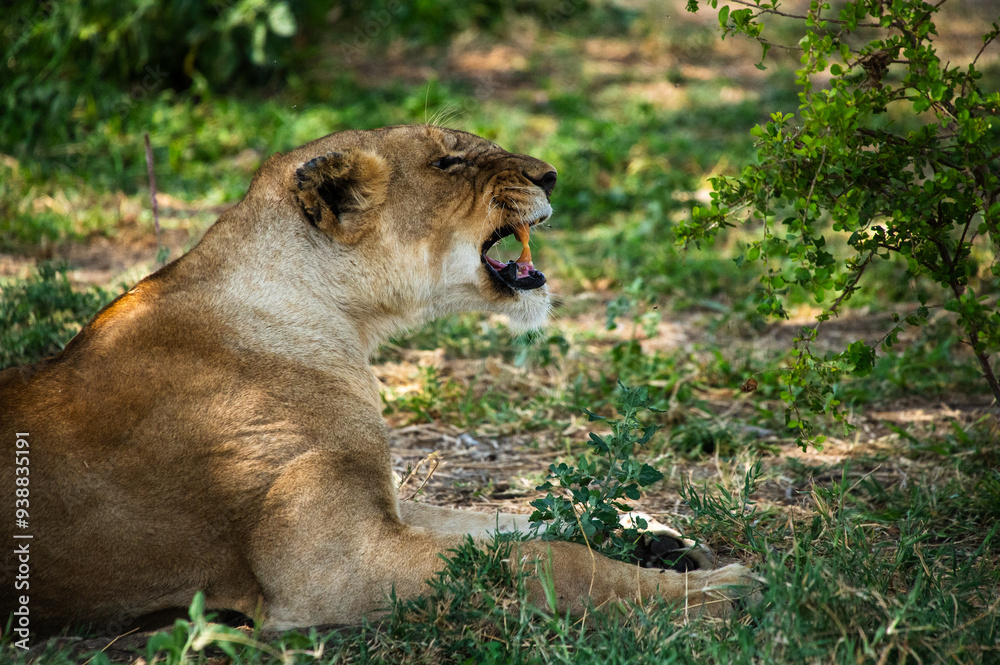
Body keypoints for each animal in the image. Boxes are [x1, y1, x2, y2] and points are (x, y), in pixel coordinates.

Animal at [0, 125, 750, 637]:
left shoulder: (383, 504)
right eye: (449, 161)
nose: (553, 174)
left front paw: (657, 538)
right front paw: (721, 593)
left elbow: (511, 521)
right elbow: (549, 560)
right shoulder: (330, 568)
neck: (344, 324)